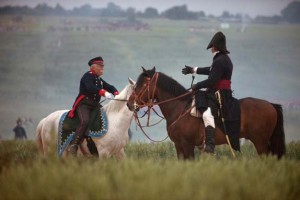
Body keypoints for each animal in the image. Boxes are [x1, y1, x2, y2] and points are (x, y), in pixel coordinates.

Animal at [127, 67, 286, 159]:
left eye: (143, 84)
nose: (129, 104)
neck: (179, 107)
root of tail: (271, 105)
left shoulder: (187, 144)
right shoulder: (178, 146)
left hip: (260, 142)